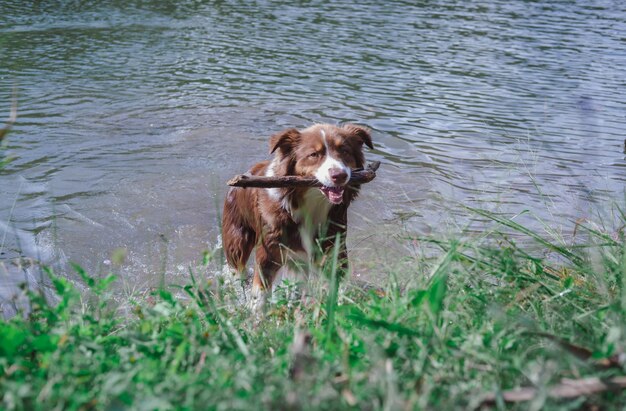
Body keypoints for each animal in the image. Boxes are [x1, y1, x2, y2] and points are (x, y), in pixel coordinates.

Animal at [222, 124, 372, 308]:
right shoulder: (268, 252)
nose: (339, 175)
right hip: (237, 238)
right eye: (313, 154)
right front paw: (256, 314)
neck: (312, 204)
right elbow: (261, 294)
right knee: (237, 269)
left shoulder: (333, 247)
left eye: (344, 151)